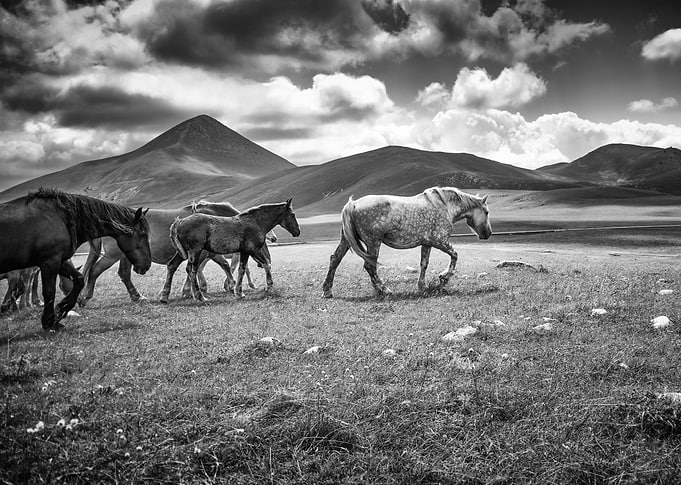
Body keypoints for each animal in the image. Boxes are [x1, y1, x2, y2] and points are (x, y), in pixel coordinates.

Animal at [0, 188, 152, 330]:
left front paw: (61, 310)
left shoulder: (59, 261)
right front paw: (49, 322)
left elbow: (79, 280)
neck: (62, 219)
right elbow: (49, 292)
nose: (147, 265)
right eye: (143, 233)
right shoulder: (49, 262)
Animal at [75, 201, 276, 305]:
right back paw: (86, 297)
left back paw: (135, 295)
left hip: (126, 256)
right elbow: (203, 268)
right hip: (114, 255)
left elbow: (209, 267)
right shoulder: (204, 253)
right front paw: (196, 290)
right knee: (97, 271)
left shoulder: (207, 253)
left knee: (123, 274)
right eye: (263, 240)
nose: (266, 261)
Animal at [170, 199, 300, 301]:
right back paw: (199, 296)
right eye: (293, 214)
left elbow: (242, 269)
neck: (255, 222)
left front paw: (239, 292)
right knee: (192, 270)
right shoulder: (253, 250)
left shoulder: (244, 252)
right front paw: (269, 286)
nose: (297, 232)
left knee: (190, 269)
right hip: (196, 252)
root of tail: (180, 222)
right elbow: (266, 264)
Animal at [322, 187, 491, 298]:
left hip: (346, 240)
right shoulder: (439, 241)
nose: (488, 233)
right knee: (370, 266)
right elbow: (455, 255)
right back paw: (384, 290)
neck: (444, 206)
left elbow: (424, 264)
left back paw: (327, 290)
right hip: (373, 241)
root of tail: (353, 204)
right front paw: (443, 278)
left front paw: (423, 287)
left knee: (335, 259)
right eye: (487, 212)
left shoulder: (427, 243)